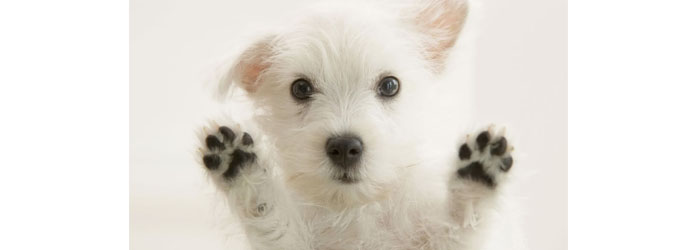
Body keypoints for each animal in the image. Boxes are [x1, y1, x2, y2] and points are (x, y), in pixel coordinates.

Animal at [200, 0, 524, 249]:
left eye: (390, 85)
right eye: (301, 88)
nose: (344, 147)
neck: (356, 209)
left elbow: (459, 227)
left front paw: (477, 177)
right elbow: (271, 219)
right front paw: (242, 167)